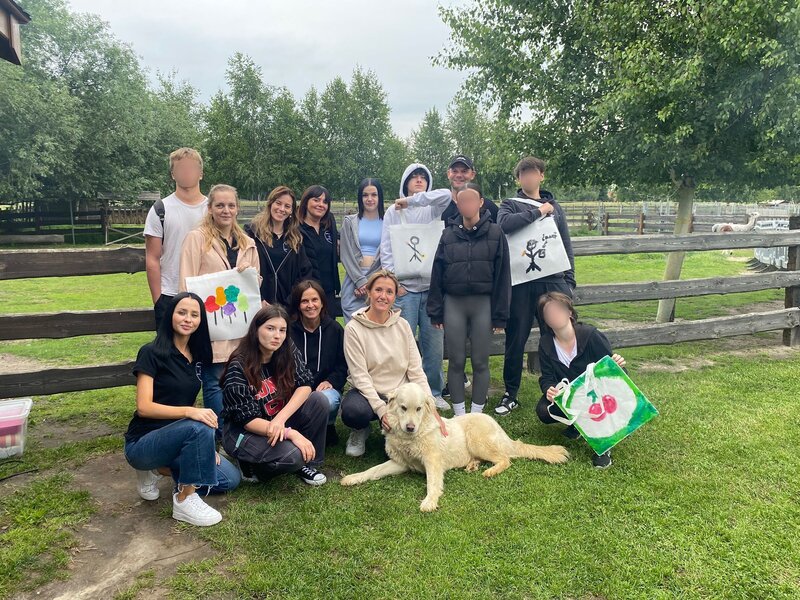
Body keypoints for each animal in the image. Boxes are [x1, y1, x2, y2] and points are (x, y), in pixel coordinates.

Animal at [340, 383, 569, 512]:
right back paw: (472, 465)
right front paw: (353, 478)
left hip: (477, 439)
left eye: (419, 408)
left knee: (505, 459)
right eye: (403, 408)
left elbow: (432, 483)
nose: (410, 427)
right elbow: (372, 471)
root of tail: (501, 430)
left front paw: (430, 501)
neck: (411, 437)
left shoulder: (432, 461)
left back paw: (490, 471)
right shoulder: (400, 463)